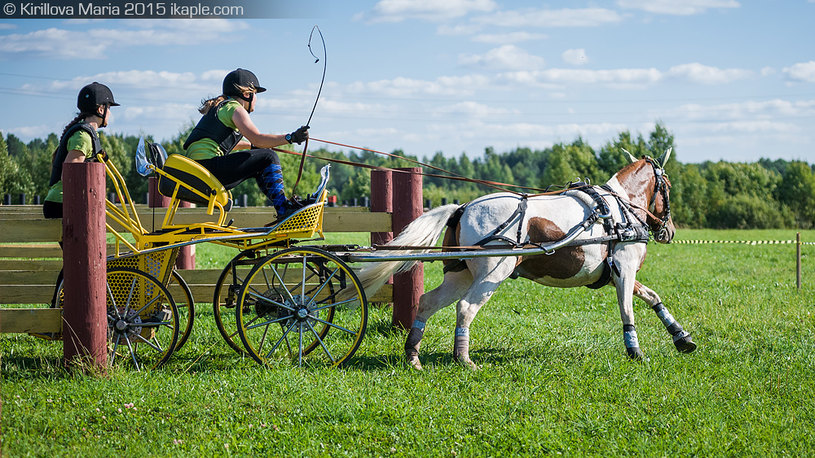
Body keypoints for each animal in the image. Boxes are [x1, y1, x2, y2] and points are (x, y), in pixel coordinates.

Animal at [354, 148, 700, 370]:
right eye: (668, 185)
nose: (668, 230)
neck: (620, 208)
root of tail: (463, 208)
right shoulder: (625, 269)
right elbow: (627, 309)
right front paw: (635, 350)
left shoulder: (616, 273)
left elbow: (653, 297)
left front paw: (681, 337)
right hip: (492, 274)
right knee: (465, 307)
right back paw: (464, 359)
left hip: (460, 274)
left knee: (427, 302)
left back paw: (413, 355)